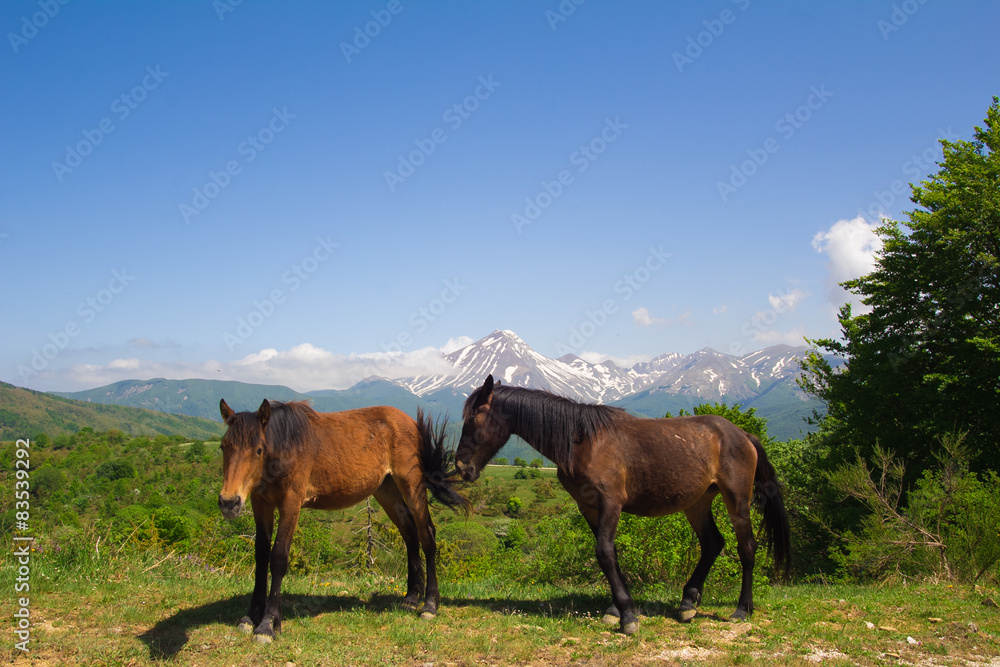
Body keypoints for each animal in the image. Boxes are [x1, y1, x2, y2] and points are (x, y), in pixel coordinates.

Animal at [217, 400, 466, 644]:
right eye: (223, 447)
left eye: (259, 450)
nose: (229, 502)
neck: (286, 446)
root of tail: (411, 423)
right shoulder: (261, 503)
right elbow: (261, 557)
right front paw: (250, 617)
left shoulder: (291, 503)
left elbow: (278, 558)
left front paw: (267, 624)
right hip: (387, 490)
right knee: (410, 533)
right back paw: (411, 597)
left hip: (412, 486)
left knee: (427, 535)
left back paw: (430, 604)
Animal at [454, 376, 788, 636]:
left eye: (472, 420)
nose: (461, 468)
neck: (583, 442)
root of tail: (742, 435)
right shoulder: (588, 506)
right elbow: (610, 554)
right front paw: (617, 608)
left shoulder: (611, 502)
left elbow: (604, 552)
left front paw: (627, 616)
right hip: (697, 503)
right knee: (712, 544)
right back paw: (688, 603)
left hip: (737, 500)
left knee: (747, 547)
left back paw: (742, 609)